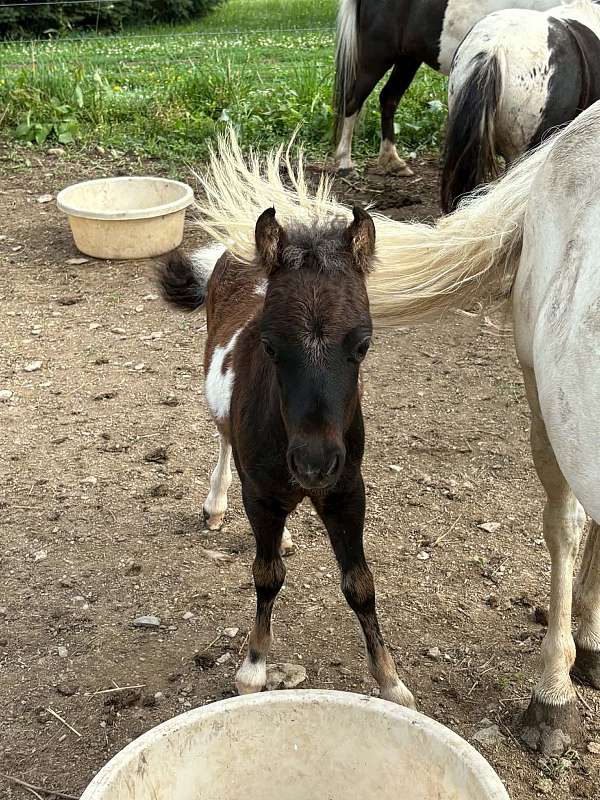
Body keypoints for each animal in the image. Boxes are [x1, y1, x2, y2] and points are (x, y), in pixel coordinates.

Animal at [157, 153, 414, 706]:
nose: (313, 463)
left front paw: (390, 680)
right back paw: (216, 504)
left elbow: (360, 582)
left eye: (363, 345)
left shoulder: (347, 490)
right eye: (271, 345)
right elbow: (266, 574)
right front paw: (253, 667)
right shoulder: (262, 493)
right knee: (224, 441)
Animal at [333, 0, 557, 175]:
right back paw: (345, 163)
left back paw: (392, 161)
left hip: (408, 58)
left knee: (388, 98)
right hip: (376, 56)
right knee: (352, 101)